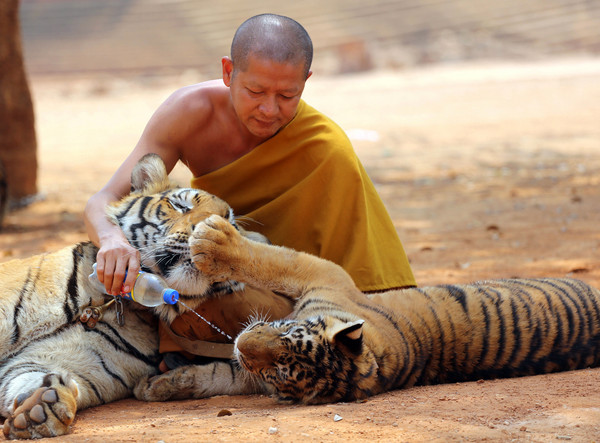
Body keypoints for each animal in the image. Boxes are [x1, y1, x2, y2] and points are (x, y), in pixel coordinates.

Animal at [0, 154, 290, 438]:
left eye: (230, 225)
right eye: (180, 206)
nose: (206, 230)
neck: (105, 304)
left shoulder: (71, 362)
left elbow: (29, 376)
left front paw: (40, 407)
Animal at [135, 214, 600, 406]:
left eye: (279, 370)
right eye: (284, 336)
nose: (243, 343)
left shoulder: (322, 273)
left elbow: (271, 260)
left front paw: (213, 240)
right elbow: (214, 375)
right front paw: (157, 387)